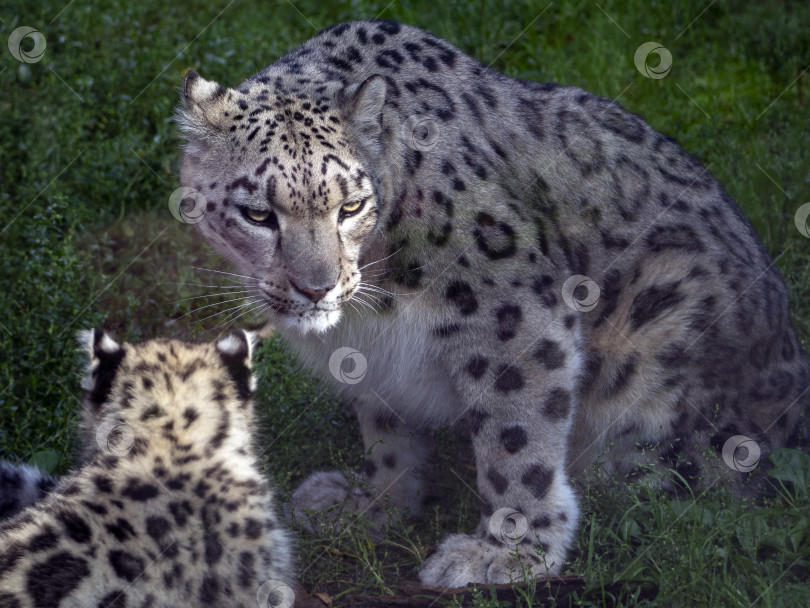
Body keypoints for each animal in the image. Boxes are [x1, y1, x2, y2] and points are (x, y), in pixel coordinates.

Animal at [177, 21, 808, 588]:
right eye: (258, 214)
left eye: (350, 205)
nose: (318, 288)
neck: (370, 306)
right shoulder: (375, 355)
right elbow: (387, 432)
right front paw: (374, 507)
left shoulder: (511, 311)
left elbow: (517, 435)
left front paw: (508, 552)